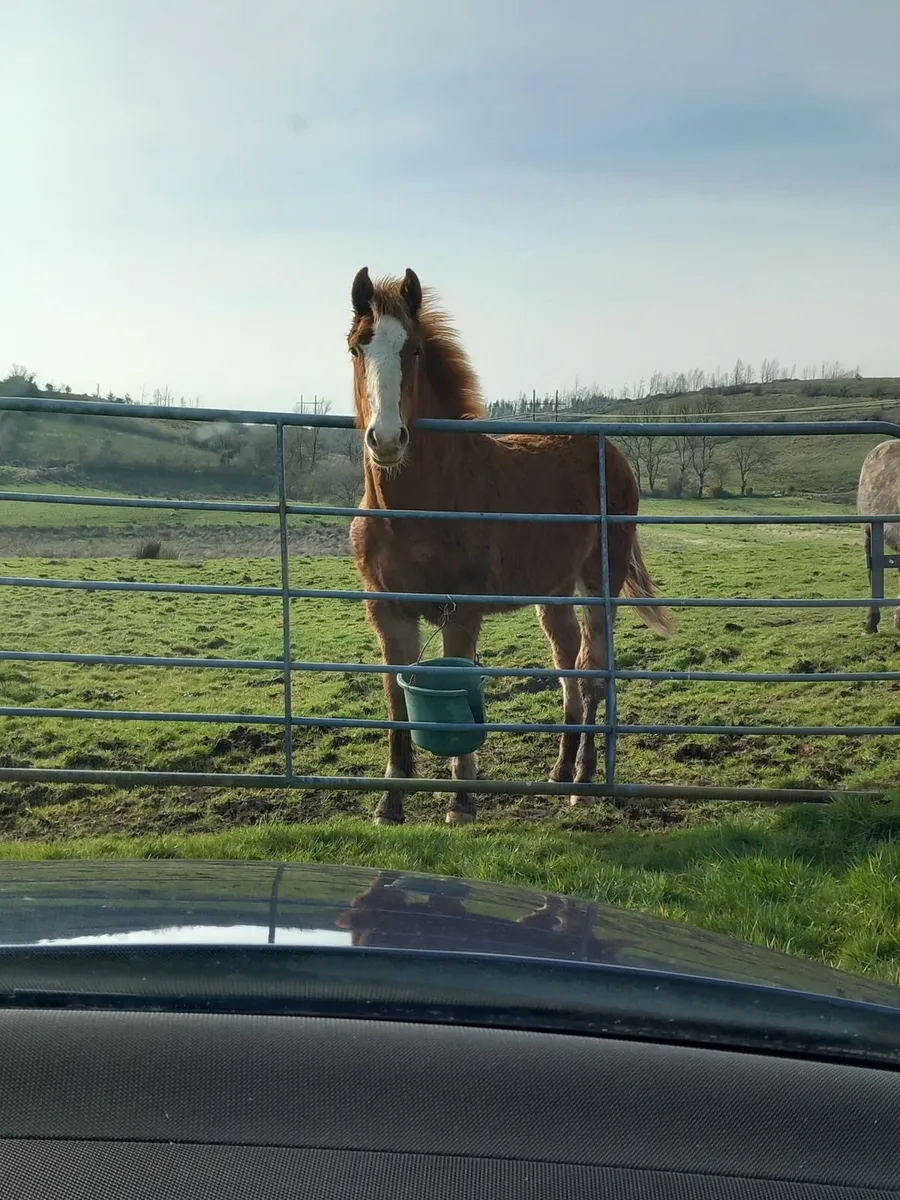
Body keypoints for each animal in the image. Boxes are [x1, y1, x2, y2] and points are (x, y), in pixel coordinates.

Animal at [347, 266, 672, 826]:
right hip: (554, 591)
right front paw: (390, 802)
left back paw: (583, 781)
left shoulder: (460, 610)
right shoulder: (387, 611)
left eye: (414, 350)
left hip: (598, 583)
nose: (386, 440)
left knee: (593, 672)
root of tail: (613, 453)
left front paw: (461, 800)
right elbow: (395, 702)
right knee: (567, 666)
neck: (416, 507)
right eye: (356, 347)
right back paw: (561, 770)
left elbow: (461, 686)